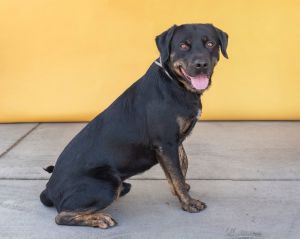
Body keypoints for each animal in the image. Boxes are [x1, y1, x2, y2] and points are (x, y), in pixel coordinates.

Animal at [39, 23, 227, 229]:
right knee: (62, 215)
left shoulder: (174, 142)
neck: (175, 84)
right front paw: (188, 203)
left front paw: (181, 190)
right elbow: (177, 173)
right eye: (183, 45)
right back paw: (99, 218)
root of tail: (49, 189)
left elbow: (181, 166)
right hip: (107, 183)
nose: (201, 65)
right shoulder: (166, 142)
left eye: (210, 43)